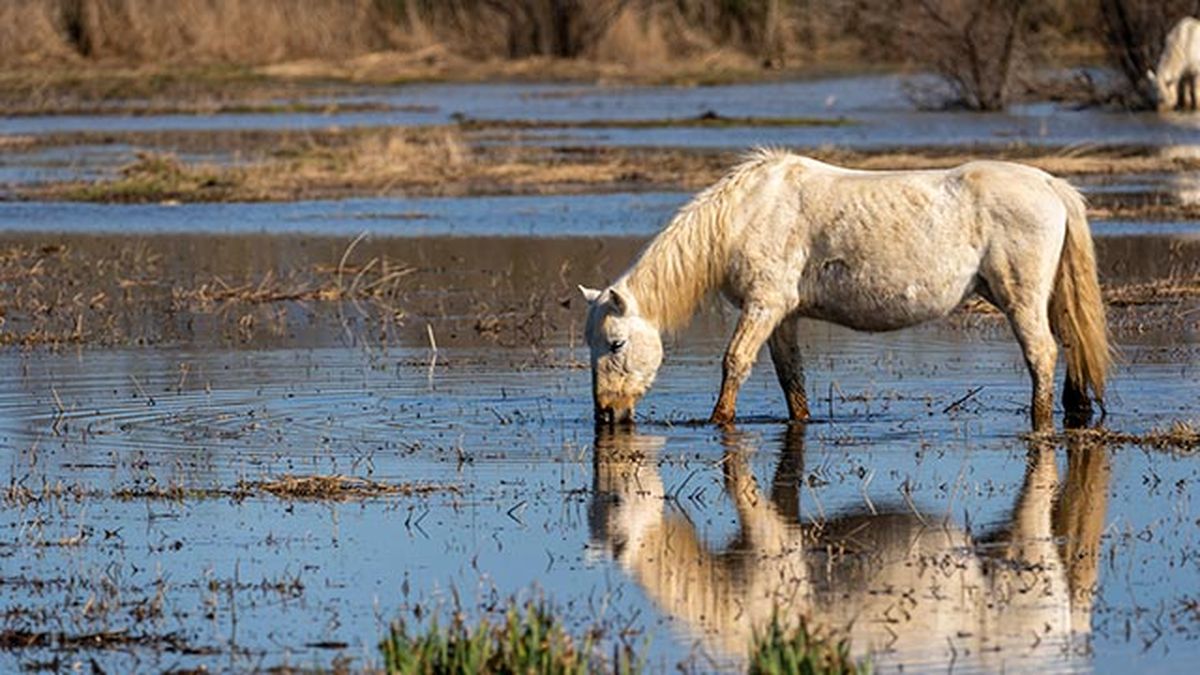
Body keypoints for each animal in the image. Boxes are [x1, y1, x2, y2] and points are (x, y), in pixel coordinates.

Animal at [579, 149, 1110, 432]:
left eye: (616, 343)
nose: (607, 414)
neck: (746, 213)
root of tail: (1049, 184)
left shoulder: (763, 306)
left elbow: (735, 363)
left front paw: (718, 420)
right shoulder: (783, 316)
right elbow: (790, 376)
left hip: (1021, 299)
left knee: (1042, 353)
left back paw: (1040, 418)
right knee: (1068, 346)